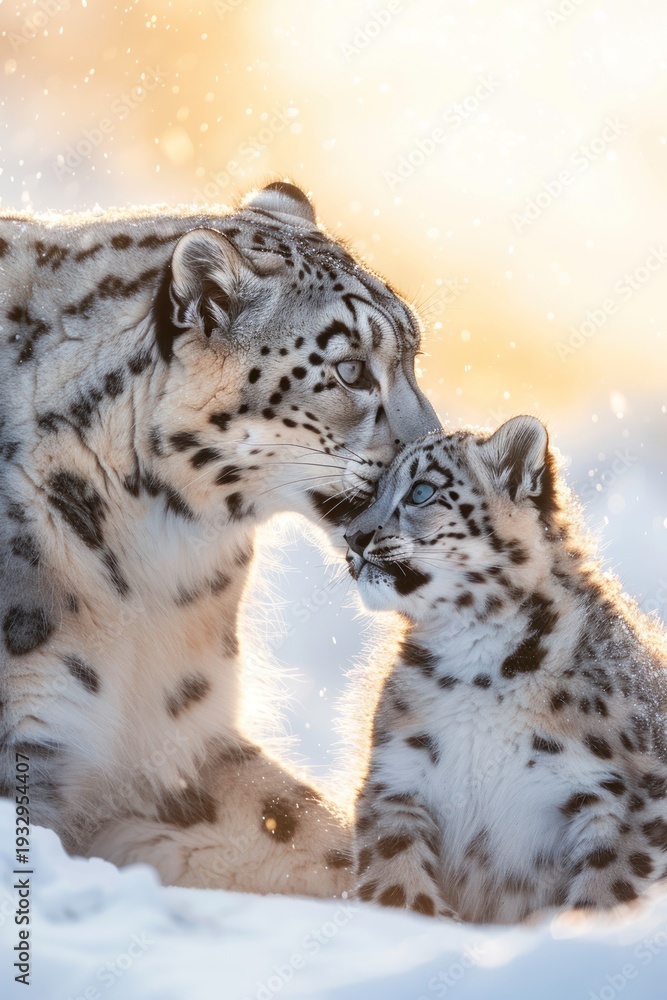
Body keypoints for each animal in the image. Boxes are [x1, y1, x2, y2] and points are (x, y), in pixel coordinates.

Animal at [0, 180, 439, 897]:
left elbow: (300, 825)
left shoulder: (176, 739)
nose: (437, 452)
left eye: (413, 355)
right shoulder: (32, 735)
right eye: (349, 369)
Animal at [344, 415, 667, 922]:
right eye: (371, 492)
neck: (476, 664)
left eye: (421, 491)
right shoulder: (398, 778)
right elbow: (395, 876)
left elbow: (610, 887)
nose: (351, 537)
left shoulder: (629, 798)